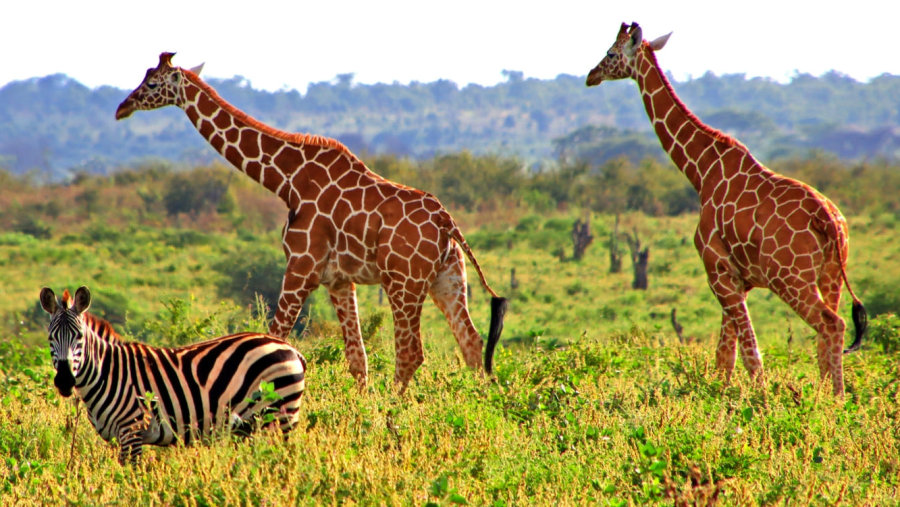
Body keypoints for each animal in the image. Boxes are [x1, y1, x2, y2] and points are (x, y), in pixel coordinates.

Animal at [39, 286, 306, 464]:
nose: (64, 380)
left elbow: (130, 476)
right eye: (51, 337)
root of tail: (290, 348)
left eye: (79, 337)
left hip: (278, 417)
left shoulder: (133, 430)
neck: (107, 373)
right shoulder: (116, 437)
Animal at [114, 52, 506, 392]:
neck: (287, 179)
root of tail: (446, 221)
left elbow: (275, 339)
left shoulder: (301, 266)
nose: (122, 108)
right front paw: (362, 411)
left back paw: (398, 413)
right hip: (447, 278)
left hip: (403, 281)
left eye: (152, 83)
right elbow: (357, 359)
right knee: (472, 344)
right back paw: (480, 405)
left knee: (412, 353)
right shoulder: (338, 280)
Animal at [588, 22, 868, 396]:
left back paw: (833, 401)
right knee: (827, 335)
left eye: (610, 53)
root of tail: (829, 221)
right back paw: (828, 397)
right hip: (832, 274)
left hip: (789, 278)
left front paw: (758, 401)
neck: (701, 171)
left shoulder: (716, 270)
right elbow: (726, 357)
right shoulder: (737, 277)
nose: (591, 75)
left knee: (831, 324)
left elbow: (748, 356)